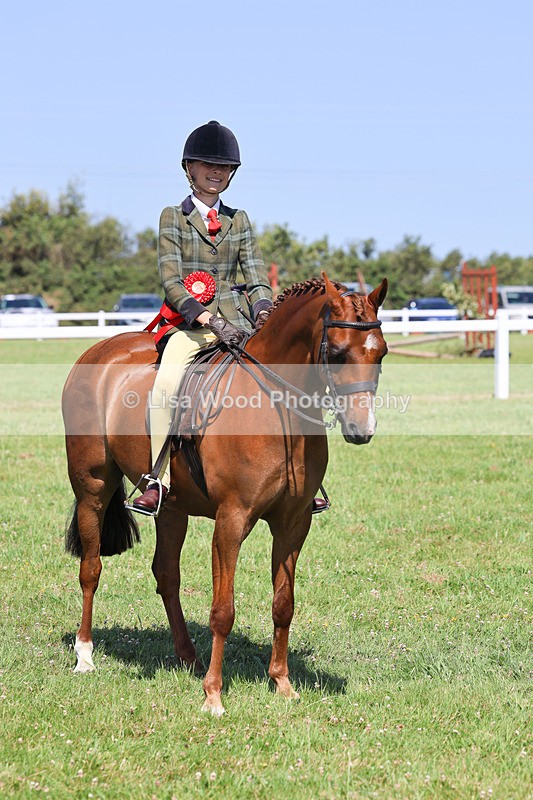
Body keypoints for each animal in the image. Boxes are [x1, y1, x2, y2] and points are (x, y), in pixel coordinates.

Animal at [62, 273, 388, 716]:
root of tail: (98, 350)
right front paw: (213, 695)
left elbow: (283, 604)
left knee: (166, 574)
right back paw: (85, 655)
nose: (361, 429)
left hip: (172, 508)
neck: (274, 407)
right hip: (91, 489)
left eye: (381, 352)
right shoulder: (232, 520)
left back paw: (188, 657)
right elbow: (223, 610)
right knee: (91, 568)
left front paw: (282, 683)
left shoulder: (294, 523)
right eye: (336, 353)